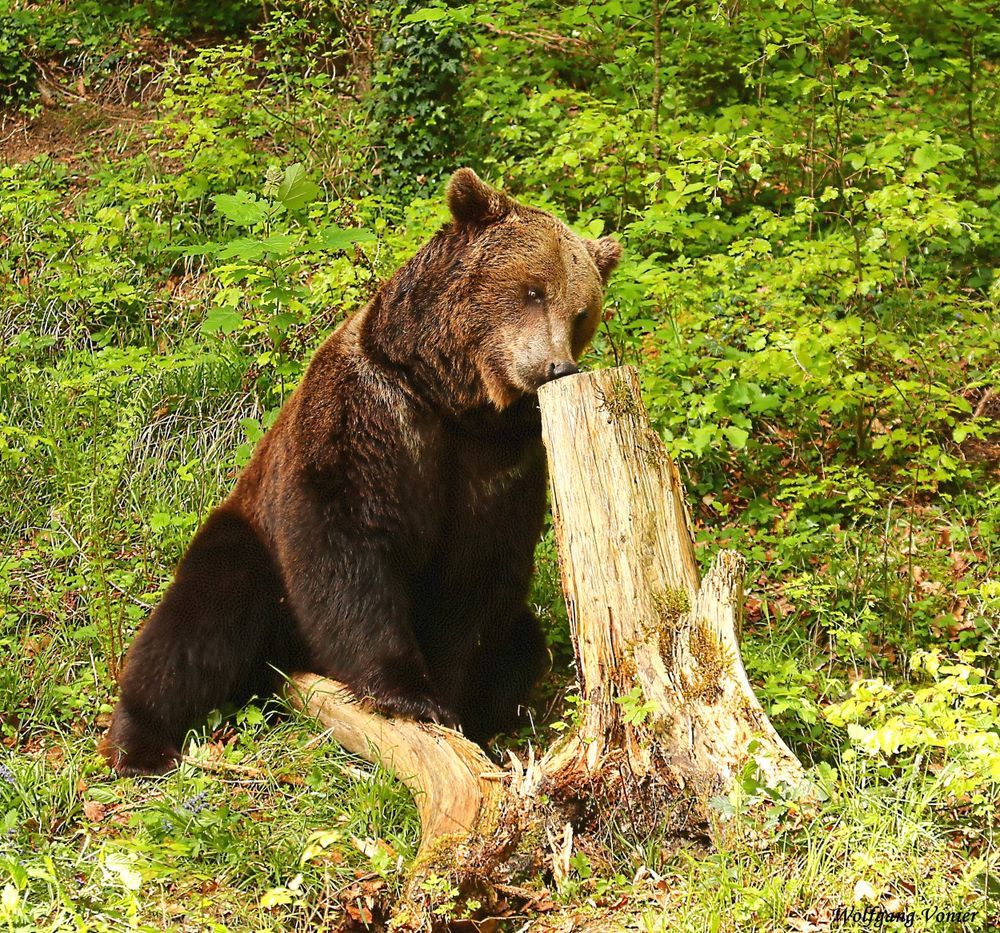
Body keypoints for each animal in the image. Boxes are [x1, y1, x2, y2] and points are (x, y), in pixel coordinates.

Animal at [99, 167, 616, 772]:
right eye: (532, 290)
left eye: (580, 313)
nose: (556, 367)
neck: (450, 399)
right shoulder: (365, 415)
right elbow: (346, 547)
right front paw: (407, 693)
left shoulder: (502, 460)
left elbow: (478, 577)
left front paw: (452, 705)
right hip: (251, 537)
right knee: (201, 620)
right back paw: (139, 741)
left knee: (523, 645)